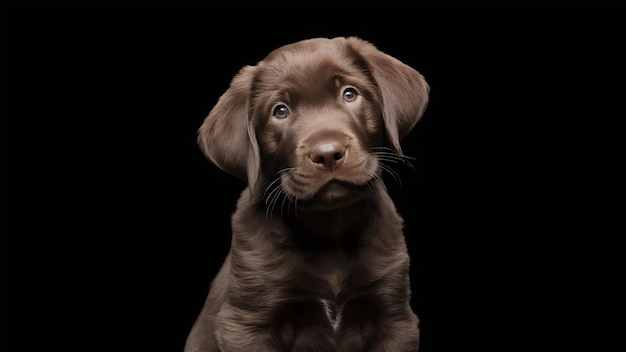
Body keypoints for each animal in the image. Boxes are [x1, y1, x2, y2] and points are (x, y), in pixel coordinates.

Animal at [185, 36, 426, 352]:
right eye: (280, 111)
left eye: (350, 93)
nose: (328, 154)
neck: (329, 231)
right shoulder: (246, 324)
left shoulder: (395, 319)